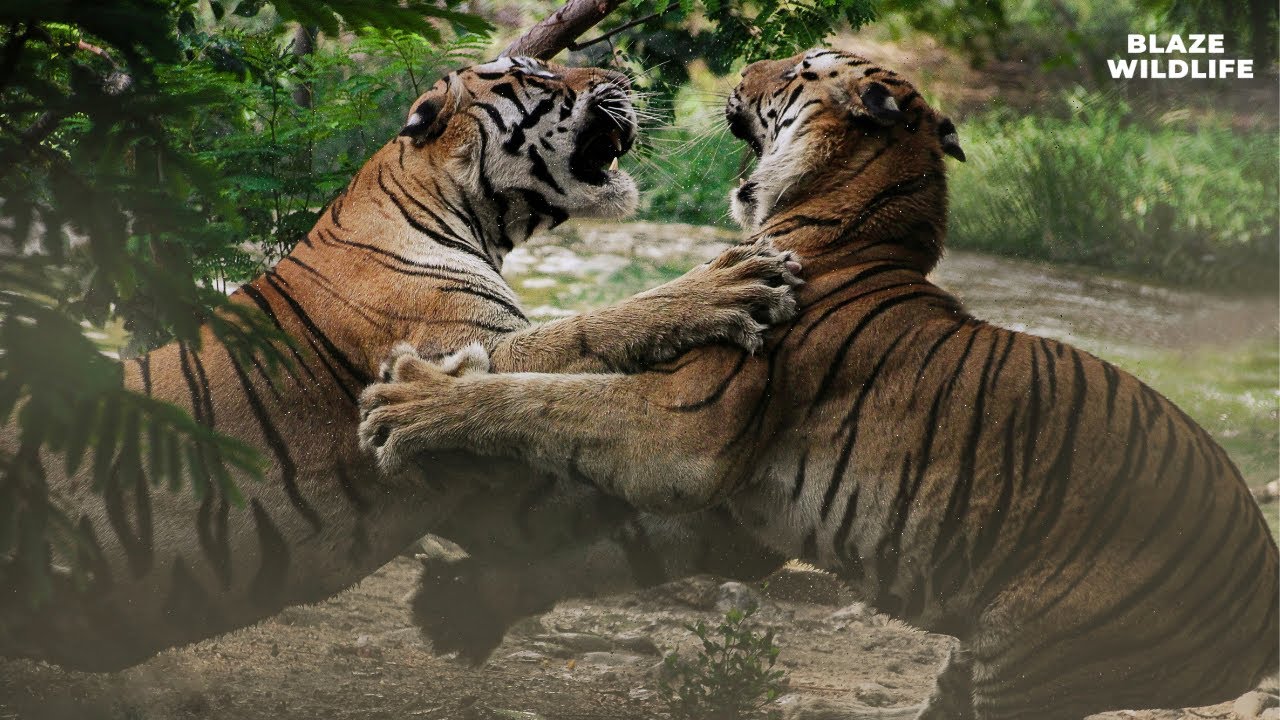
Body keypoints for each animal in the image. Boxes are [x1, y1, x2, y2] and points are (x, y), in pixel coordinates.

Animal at [0, 55, 806, 673]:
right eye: (537, 72)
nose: (625, 76)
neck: (466, 214)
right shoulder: (468, 361)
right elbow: (584, 336)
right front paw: (730, 282)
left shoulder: (502, 500)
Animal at [359, 49, 1280, 720]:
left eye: (799, 67)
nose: (741, 69)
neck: (845, 223)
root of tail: (1261, 592)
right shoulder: (737, 512)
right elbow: (609, 549)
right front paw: (463, 607)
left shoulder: (688, 430)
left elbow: (543, 396)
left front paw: (411, 402)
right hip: (977, 658)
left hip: (1038, 662)